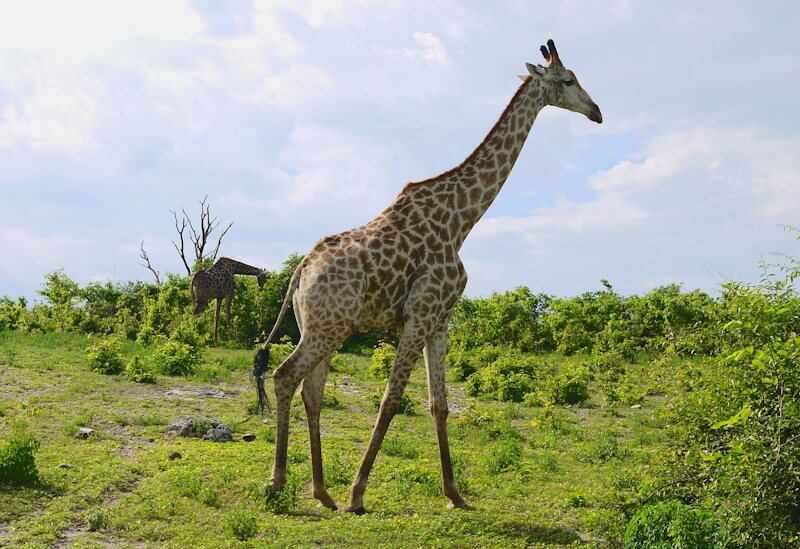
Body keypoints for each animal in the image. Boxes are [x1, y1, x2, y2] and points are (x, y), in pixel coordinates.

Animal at [253, 40, 602, 513]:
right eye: (568, 80)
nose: (597, 112)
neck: (461, 219)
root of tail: (301, 270)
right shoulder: (420, 313)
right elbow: (391, 399)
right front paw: (359, 494)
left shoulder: (440, 320)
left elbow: (440, 404)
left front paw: (454, 493)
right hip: (330, 327)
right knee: (286, 376)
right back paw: (278, 483)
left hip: (320, 326)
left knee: (312, 390)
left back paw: (322, 492)